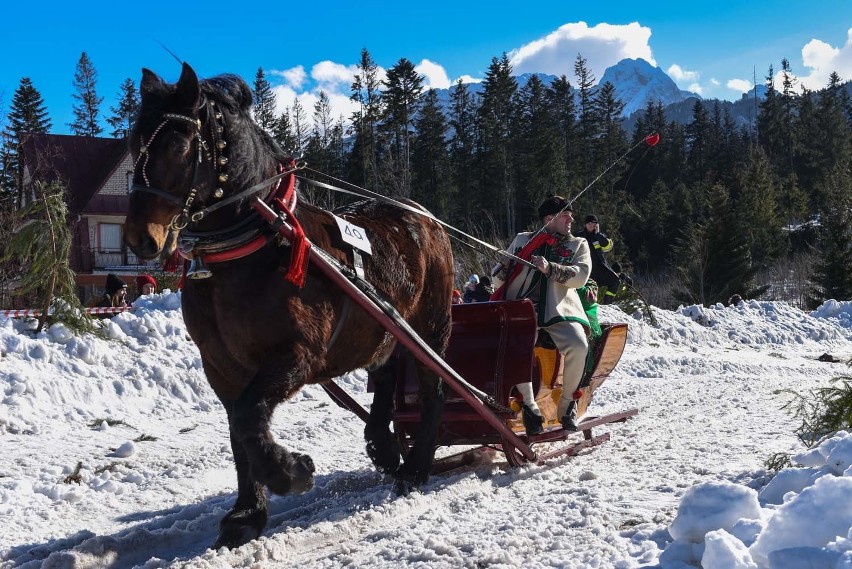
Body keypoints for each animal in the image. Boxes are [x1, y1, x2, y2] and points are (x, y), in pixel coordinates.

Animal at [124, 64, 456, 548]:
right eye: (133, 142)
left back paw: (415, 468)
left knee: (434, 389)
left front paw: (292, 472)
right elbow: (238, 431)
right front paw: (247, 513)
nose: (140, 238)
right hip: (385, 326)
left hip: (430, 328)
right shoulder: (221, 367)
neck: (251, 247)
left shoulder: (297, 355)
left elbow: (249, 418)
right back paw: (385, 445)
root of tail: (424, 217)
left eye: (178, 143)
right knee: (386, 371)